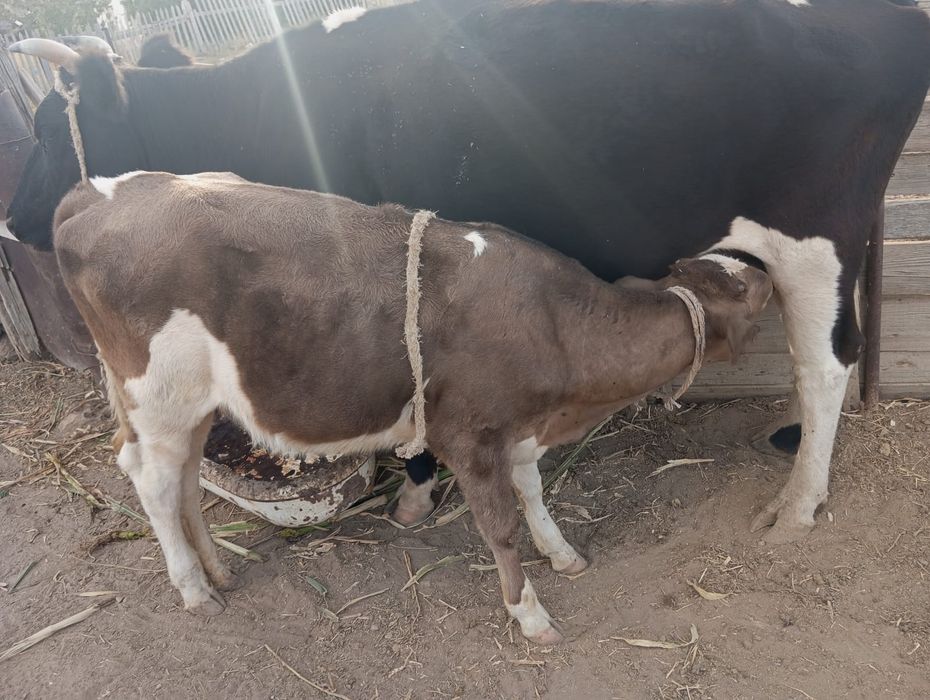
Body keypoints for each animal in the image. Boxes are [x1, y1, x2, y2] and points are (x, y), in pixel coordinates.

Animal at [6, 0, 930, 543]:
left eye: (49, 128)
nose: (13, 219)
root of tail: (887, 17)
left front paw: (416, 492)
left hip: (817, 235)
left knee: (825, 364)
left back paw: (798, 504)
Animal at [53, 170, 773, 642]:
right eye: (751, 294)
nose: (766, 270)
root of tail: (96, 191)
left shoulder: (519, 428)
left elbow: (534, 495)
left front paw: (563, 553)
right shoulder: (469, 436)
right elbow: (500, 527)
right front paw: (529, 613)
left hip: (194, 402)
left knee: (179, 479)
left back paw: (221, 571)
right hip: (159, 394)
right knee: (151, 481)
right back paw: (194, 589)